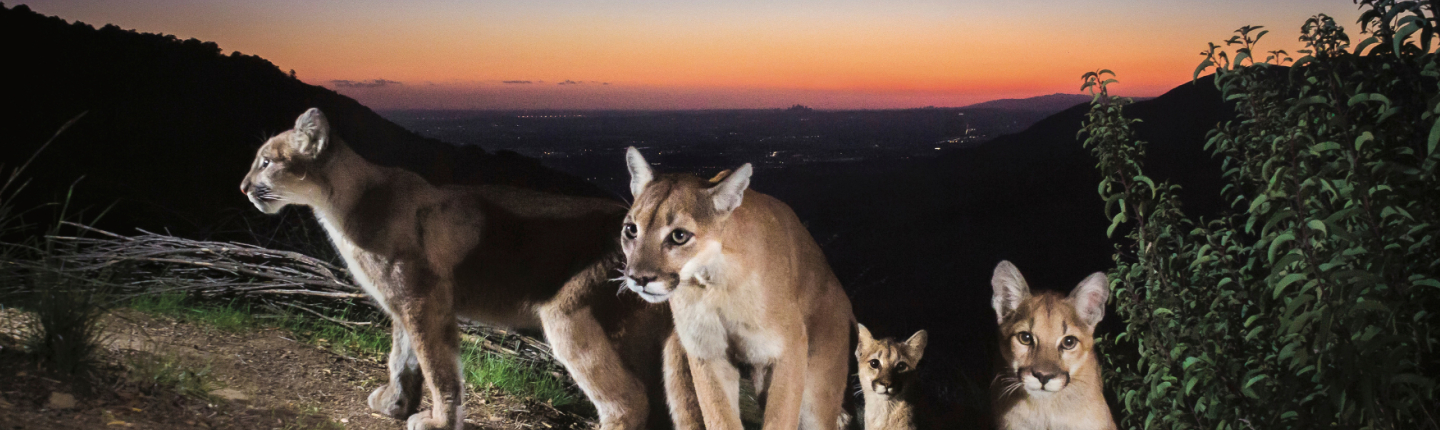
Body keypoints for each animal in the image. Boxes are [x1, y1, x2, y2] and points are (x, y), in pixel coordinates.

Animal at [239, 108, 696, 430]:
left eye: (266, 162)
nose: (243, 187)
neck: (344, 203)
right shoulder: (403, 302)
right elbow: (402, 358)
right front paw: (394, 405)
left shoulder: (424, 300)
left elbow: (438, 368)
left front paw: (438, 421)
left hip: (569, 317)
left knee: (629, 402)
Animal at [617, 147, 856, 430]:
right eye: (631, 230)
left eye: (679, 236)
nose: (638, 278)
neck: (714, 282)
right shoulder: (707, 353)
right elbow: (719, 416)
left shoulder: (788, 350)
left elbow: (781, 418)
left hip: (816, 395)